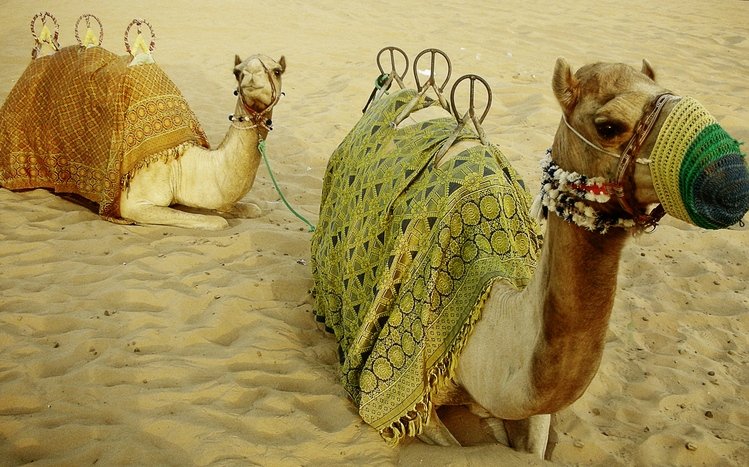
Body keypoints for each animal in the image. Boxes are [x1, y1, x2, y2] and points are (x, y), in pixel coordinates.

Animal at [0, 14, 285, 230]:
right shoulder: (135, 203)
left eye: (277, 70)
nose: (251, 77)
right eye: (237, 72)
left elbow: (251, 208)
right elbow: (217, 222)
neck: (181, 163)